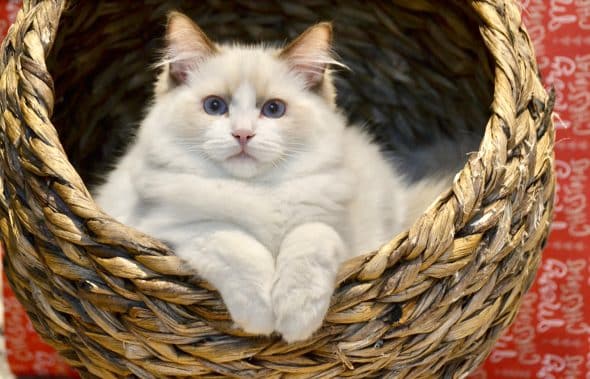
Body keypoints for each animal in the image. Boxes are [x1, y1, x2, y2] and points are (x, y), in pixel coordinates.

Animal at [93, 12, 454, 344]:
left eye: (273, 110)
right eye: (215, 106)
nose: (243, 134)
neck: (257, 190)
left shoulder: (342, 234)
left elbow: (311, 239)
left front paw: (297, 314)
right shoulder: (167, 228)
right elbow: (234, 243)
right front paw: (261, 314)